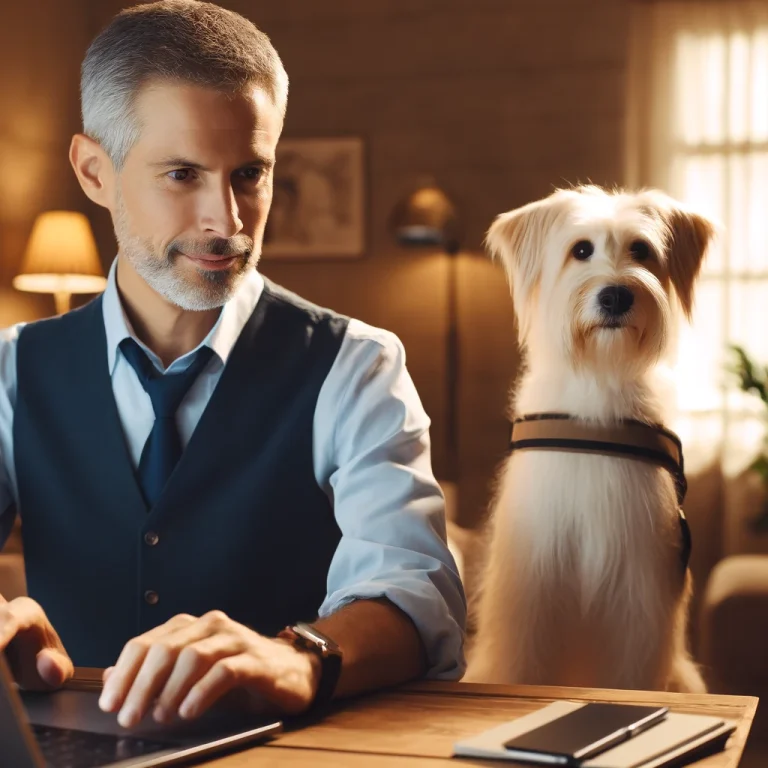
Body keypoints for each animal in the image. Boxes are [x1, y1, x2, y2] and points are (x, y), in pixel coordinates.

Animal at [468, 188, 712, 696]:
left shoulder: (637, 596)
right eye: (581, 250)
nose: (616, 295)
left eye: (641, 249)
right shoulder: (533, 591)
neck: (599, 381)